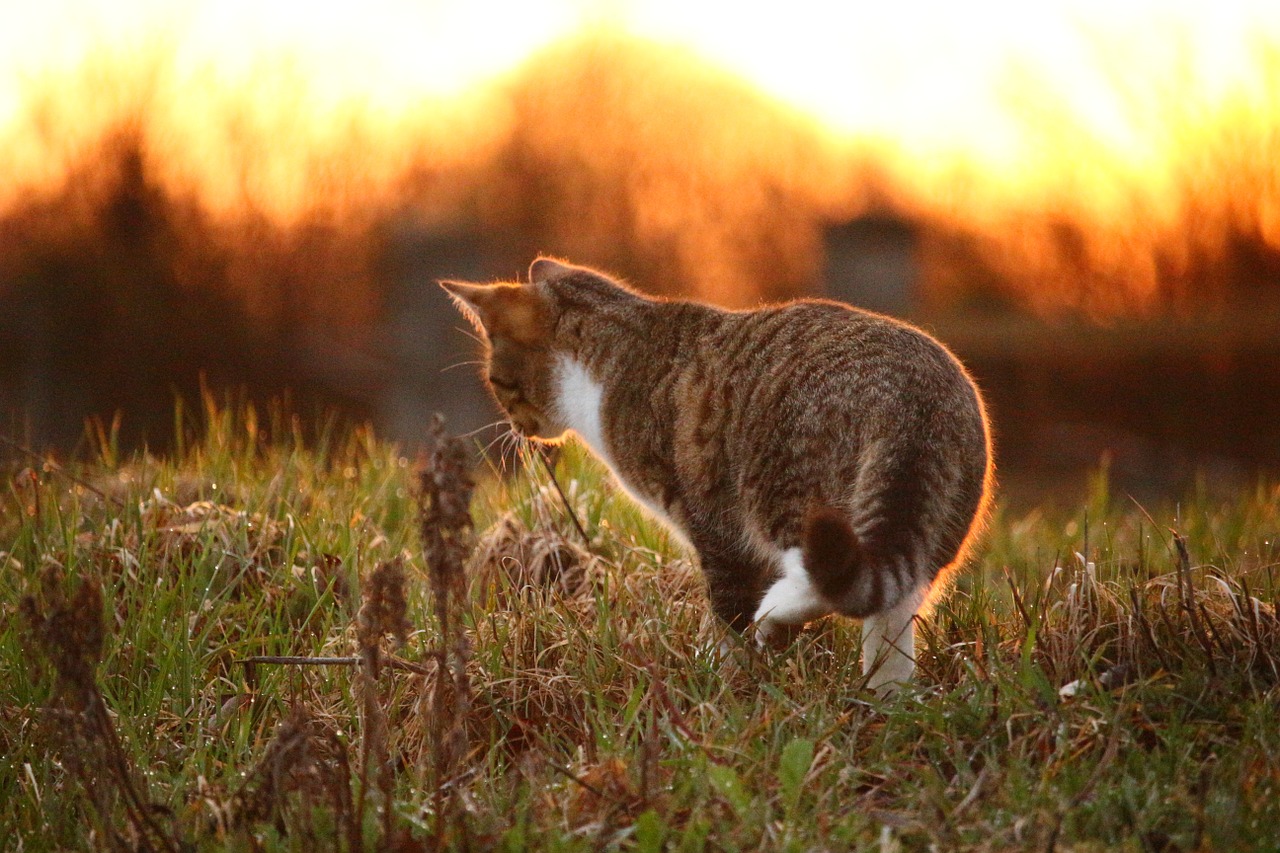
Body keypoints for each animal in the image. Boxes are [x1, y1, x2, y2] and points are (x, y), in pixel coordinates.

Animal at [440, 256, 988, 686]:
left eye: (496, 382)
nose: (517, 429)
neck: (616, 345)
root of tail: (912, 406)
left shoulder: (715, 527)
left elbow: (727, 618)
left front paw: (720, 677)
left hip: (787, 497)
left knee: (818, 579)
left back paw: (776, 618)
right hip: (930, 527)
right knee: (888, 605)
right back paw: (886, 703)